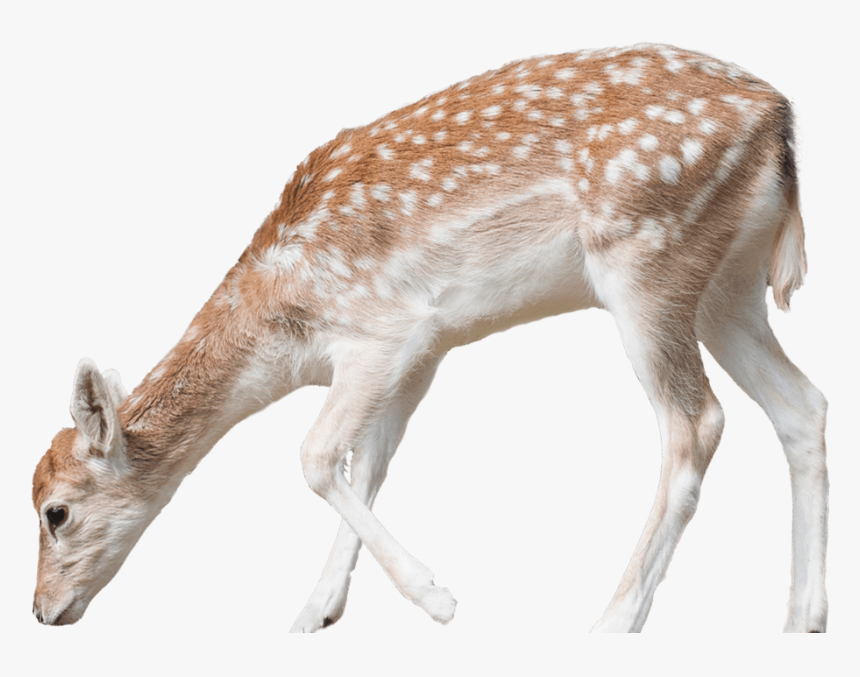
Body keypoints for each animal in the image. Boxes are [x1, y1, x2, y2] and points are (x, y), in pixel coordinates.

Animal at [32, 43, 828, 633]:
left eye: (55, 511)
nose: (40, 611)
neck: (281, 334)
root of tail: (779, 118)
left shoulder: (384, 328)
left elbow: (315, 457)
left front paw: (438, 599)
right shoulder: (423, 352)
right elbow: (368, 466)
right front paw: (314, 613)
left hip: (645, 259)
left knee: (697, 421)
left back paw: (612, 621)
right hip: (728, 286)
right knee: (804, 404)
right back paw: (803, 618)